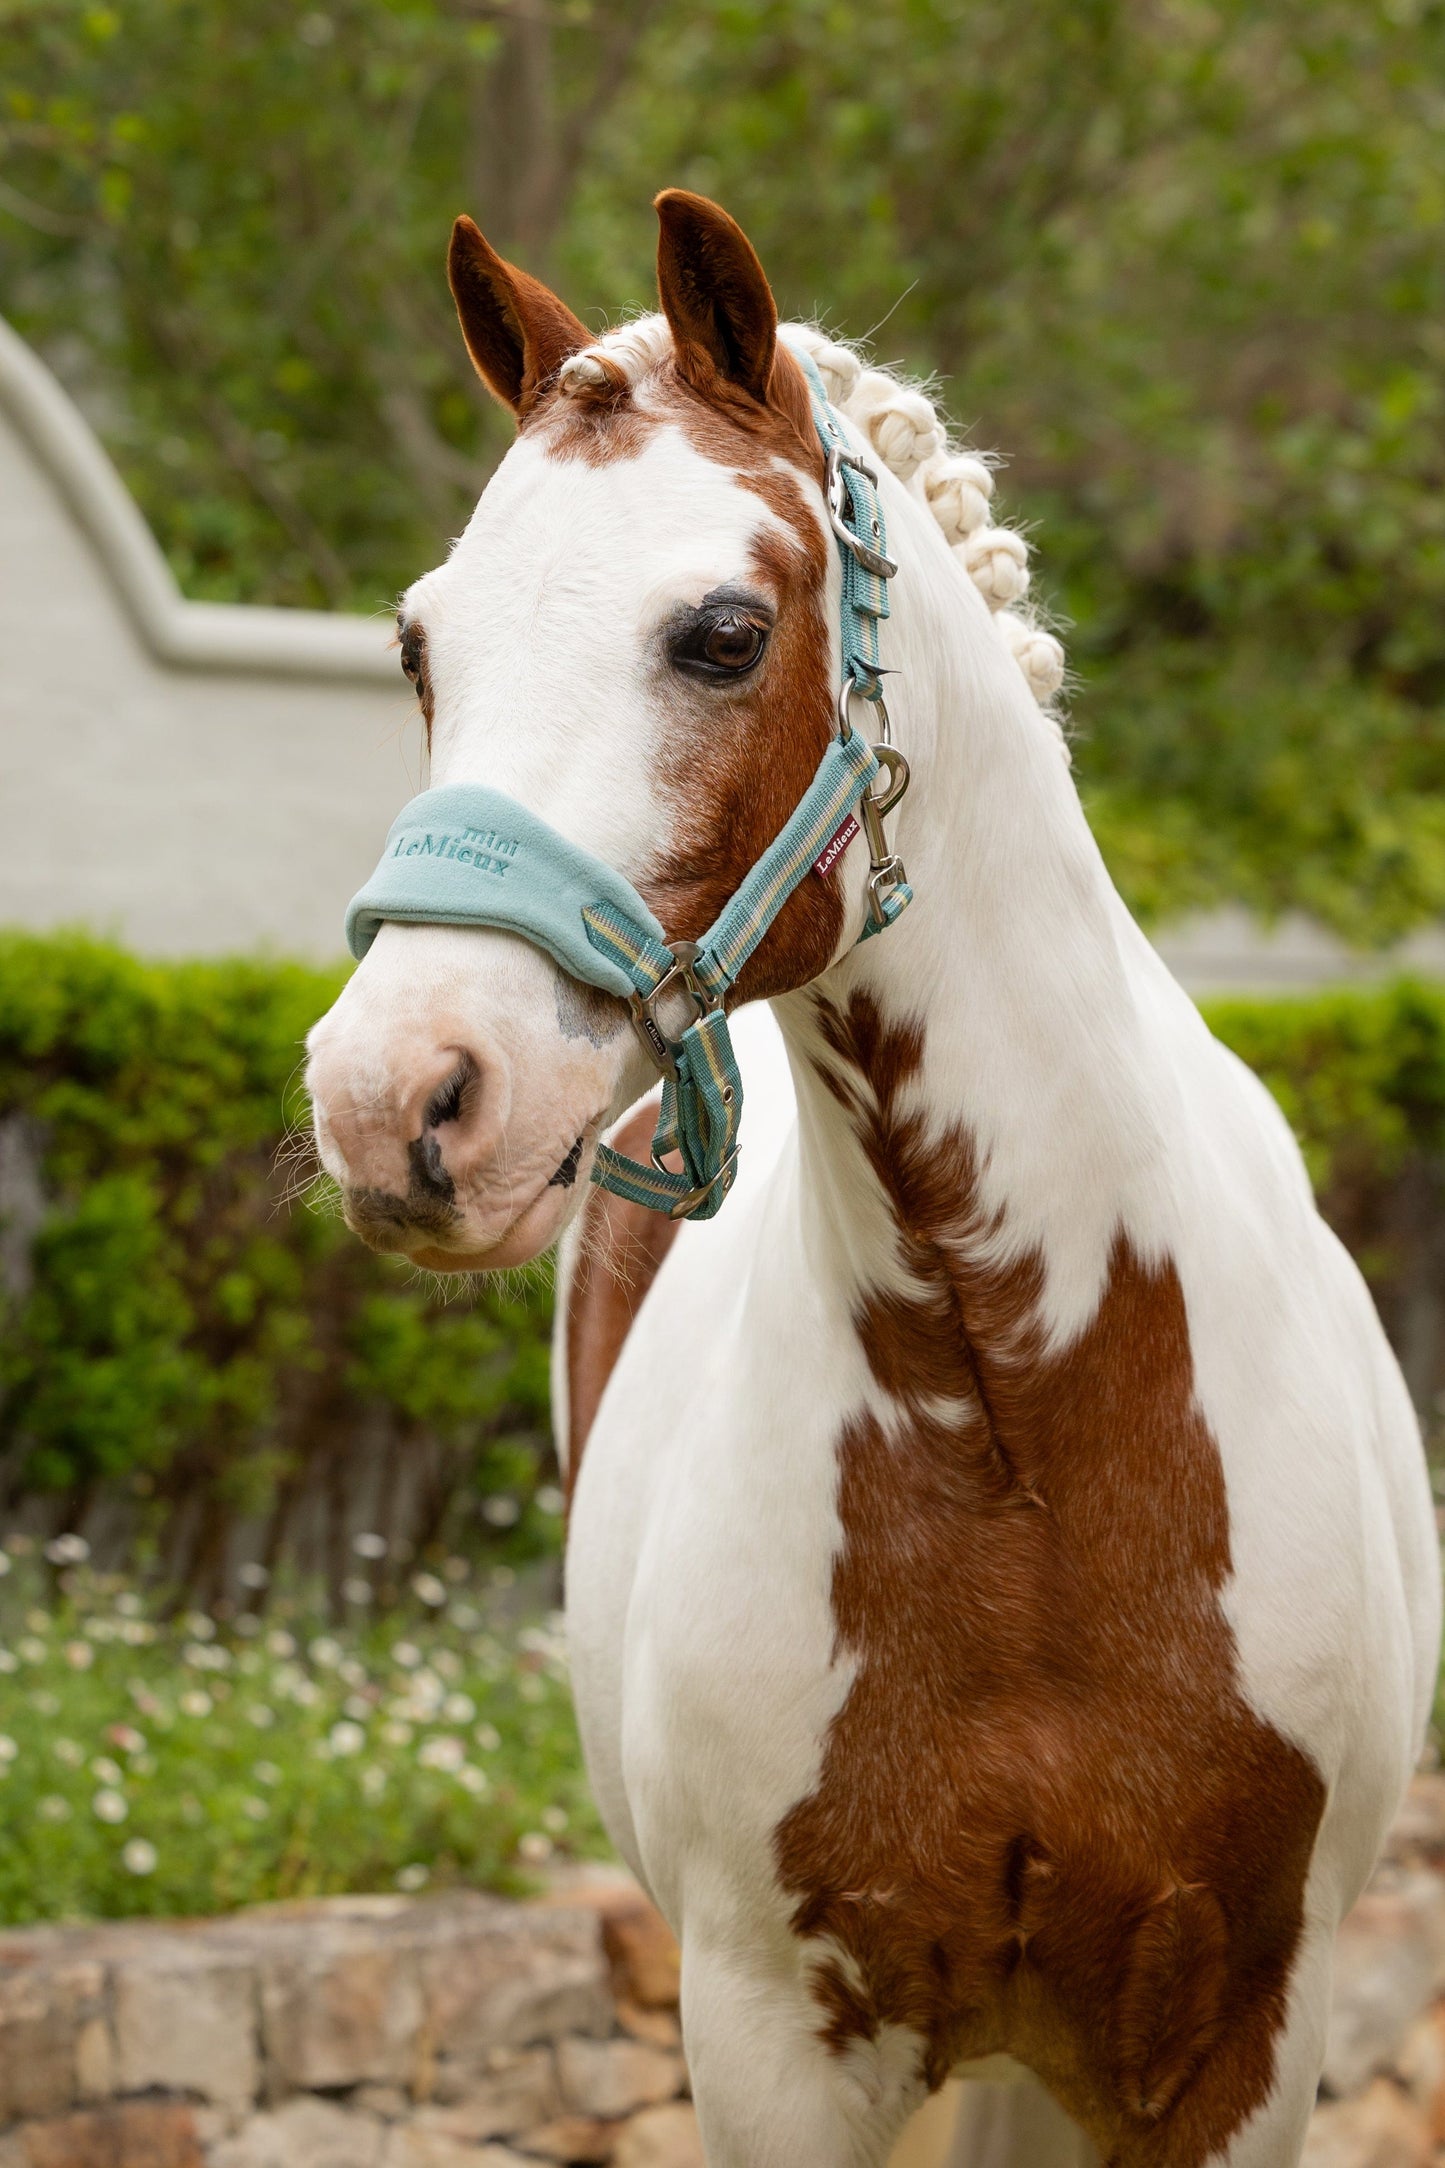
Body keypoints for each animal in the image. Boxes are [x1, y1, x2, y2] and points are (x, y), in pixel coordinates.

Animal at [303, 190, 1438, 2168]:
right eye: (421, 645)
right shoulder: (773, 2036)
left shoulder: (1236, 2039)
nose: (397, 1100)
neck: (1030, 1440)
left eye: (721, 632)